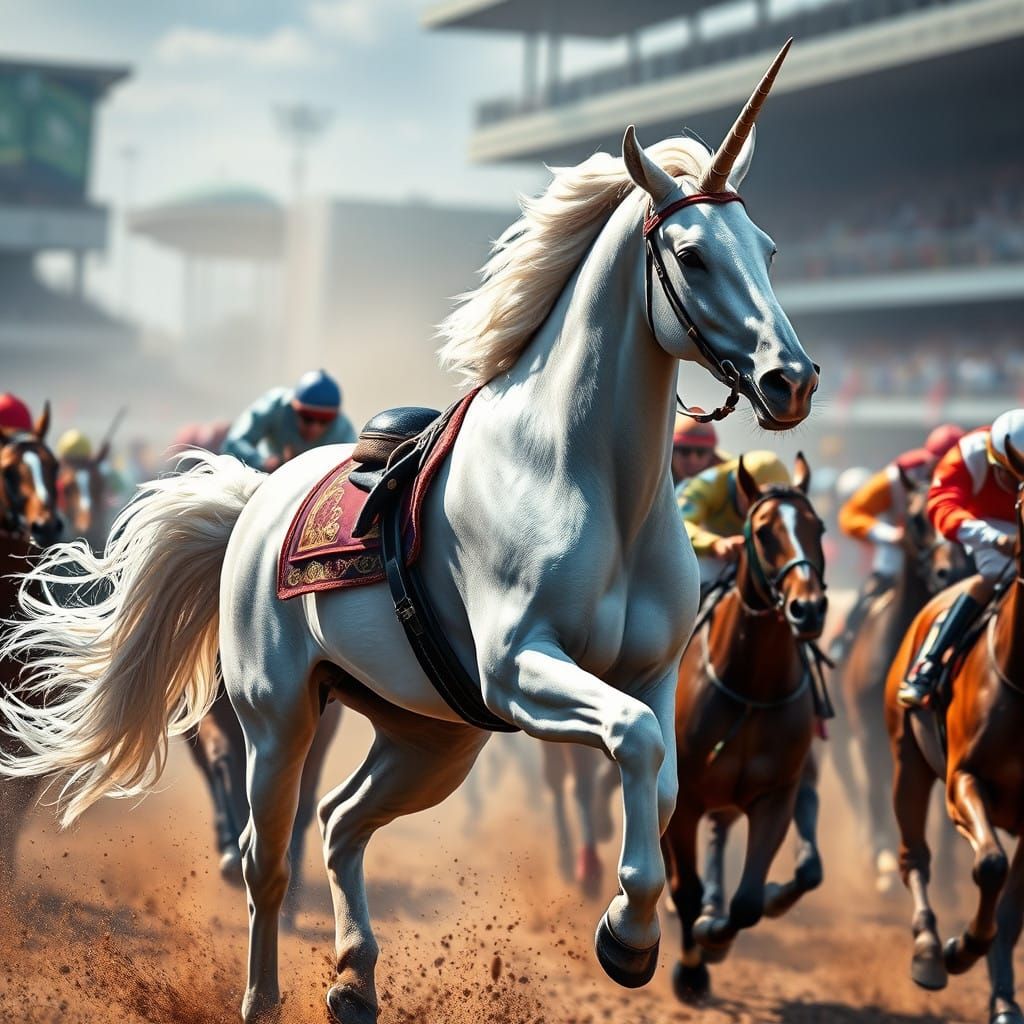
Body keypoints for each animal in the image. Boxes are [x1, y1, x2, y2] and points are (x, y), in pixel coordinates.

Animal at [661, 453, 829, 1002]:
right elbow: (686, 889)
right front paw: (692, 966)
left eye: (819, 527)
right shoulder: (685, 799)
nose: (808, 608)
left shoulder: (775, 793)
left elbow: (749, 902)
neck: (750, 689)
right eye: (763, 531)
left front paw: (716, 935)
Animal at [830, 472, 970, 894]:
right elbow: (877, 789)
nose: (950, 572)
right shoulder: (870, 731)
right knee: (854, 782)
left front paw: (947, 879)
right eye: (917, 518)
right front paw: (885, 864)